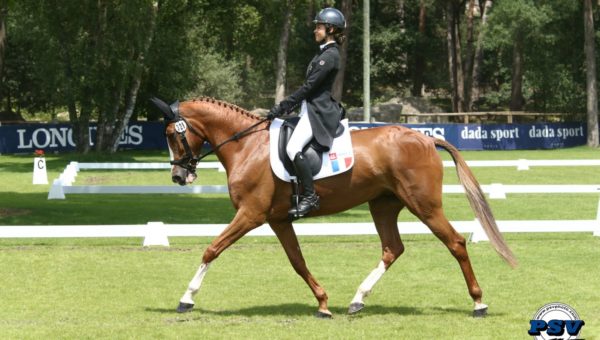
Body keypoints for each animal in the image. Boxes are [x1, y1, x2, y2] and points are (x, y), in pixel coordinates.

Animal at [150, 96, 516, 318]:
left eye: (170, 133)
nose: (178, 176)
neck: (247, 146)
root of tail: (426, 138)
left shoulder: (251, 214)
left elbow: (212, 249)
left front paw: (187, 298)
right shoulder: (278, 220)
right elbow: (297, 261)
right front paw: (323, 303)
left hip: (424, 206)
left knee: (455, 242)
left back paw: (479, 302)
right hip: (383, 205)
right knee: (392, 249)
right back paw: (357, 299)